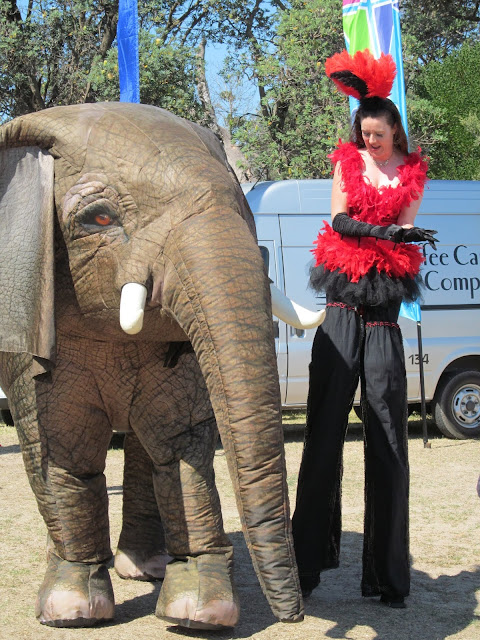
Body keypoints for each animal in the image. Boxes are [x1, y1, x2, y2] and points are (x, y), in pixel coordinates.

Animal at [0, 102, 322, 630]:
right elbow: (65, 446)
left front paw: (203, 611)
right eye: (99, 217)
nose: (295, 615)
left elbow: (178, 443)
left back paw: (144, 567)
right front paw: (72, 610)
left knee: (146, 446)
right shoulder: (26, 312)